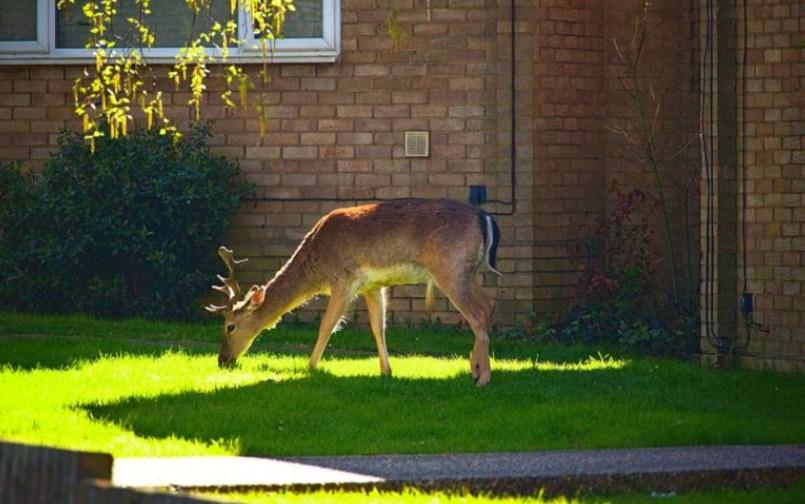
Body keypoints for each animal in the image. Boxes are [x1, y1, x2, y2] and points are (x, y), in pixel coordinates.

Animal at [204, 198, 500, 386]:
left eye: (229, 326)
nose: (222, 360)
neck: (317, 264)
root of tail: (485, 218)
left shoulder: (344, 280)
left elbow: (327, 325)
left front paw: (309, 367)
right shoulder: (373, 285)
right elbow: (378, 327)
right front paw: (386, 371)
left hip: (449, 267)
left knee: (476, 313)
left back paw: (483, 377)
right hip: (468, 272)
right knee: (488, 304)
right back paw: (474, 367)